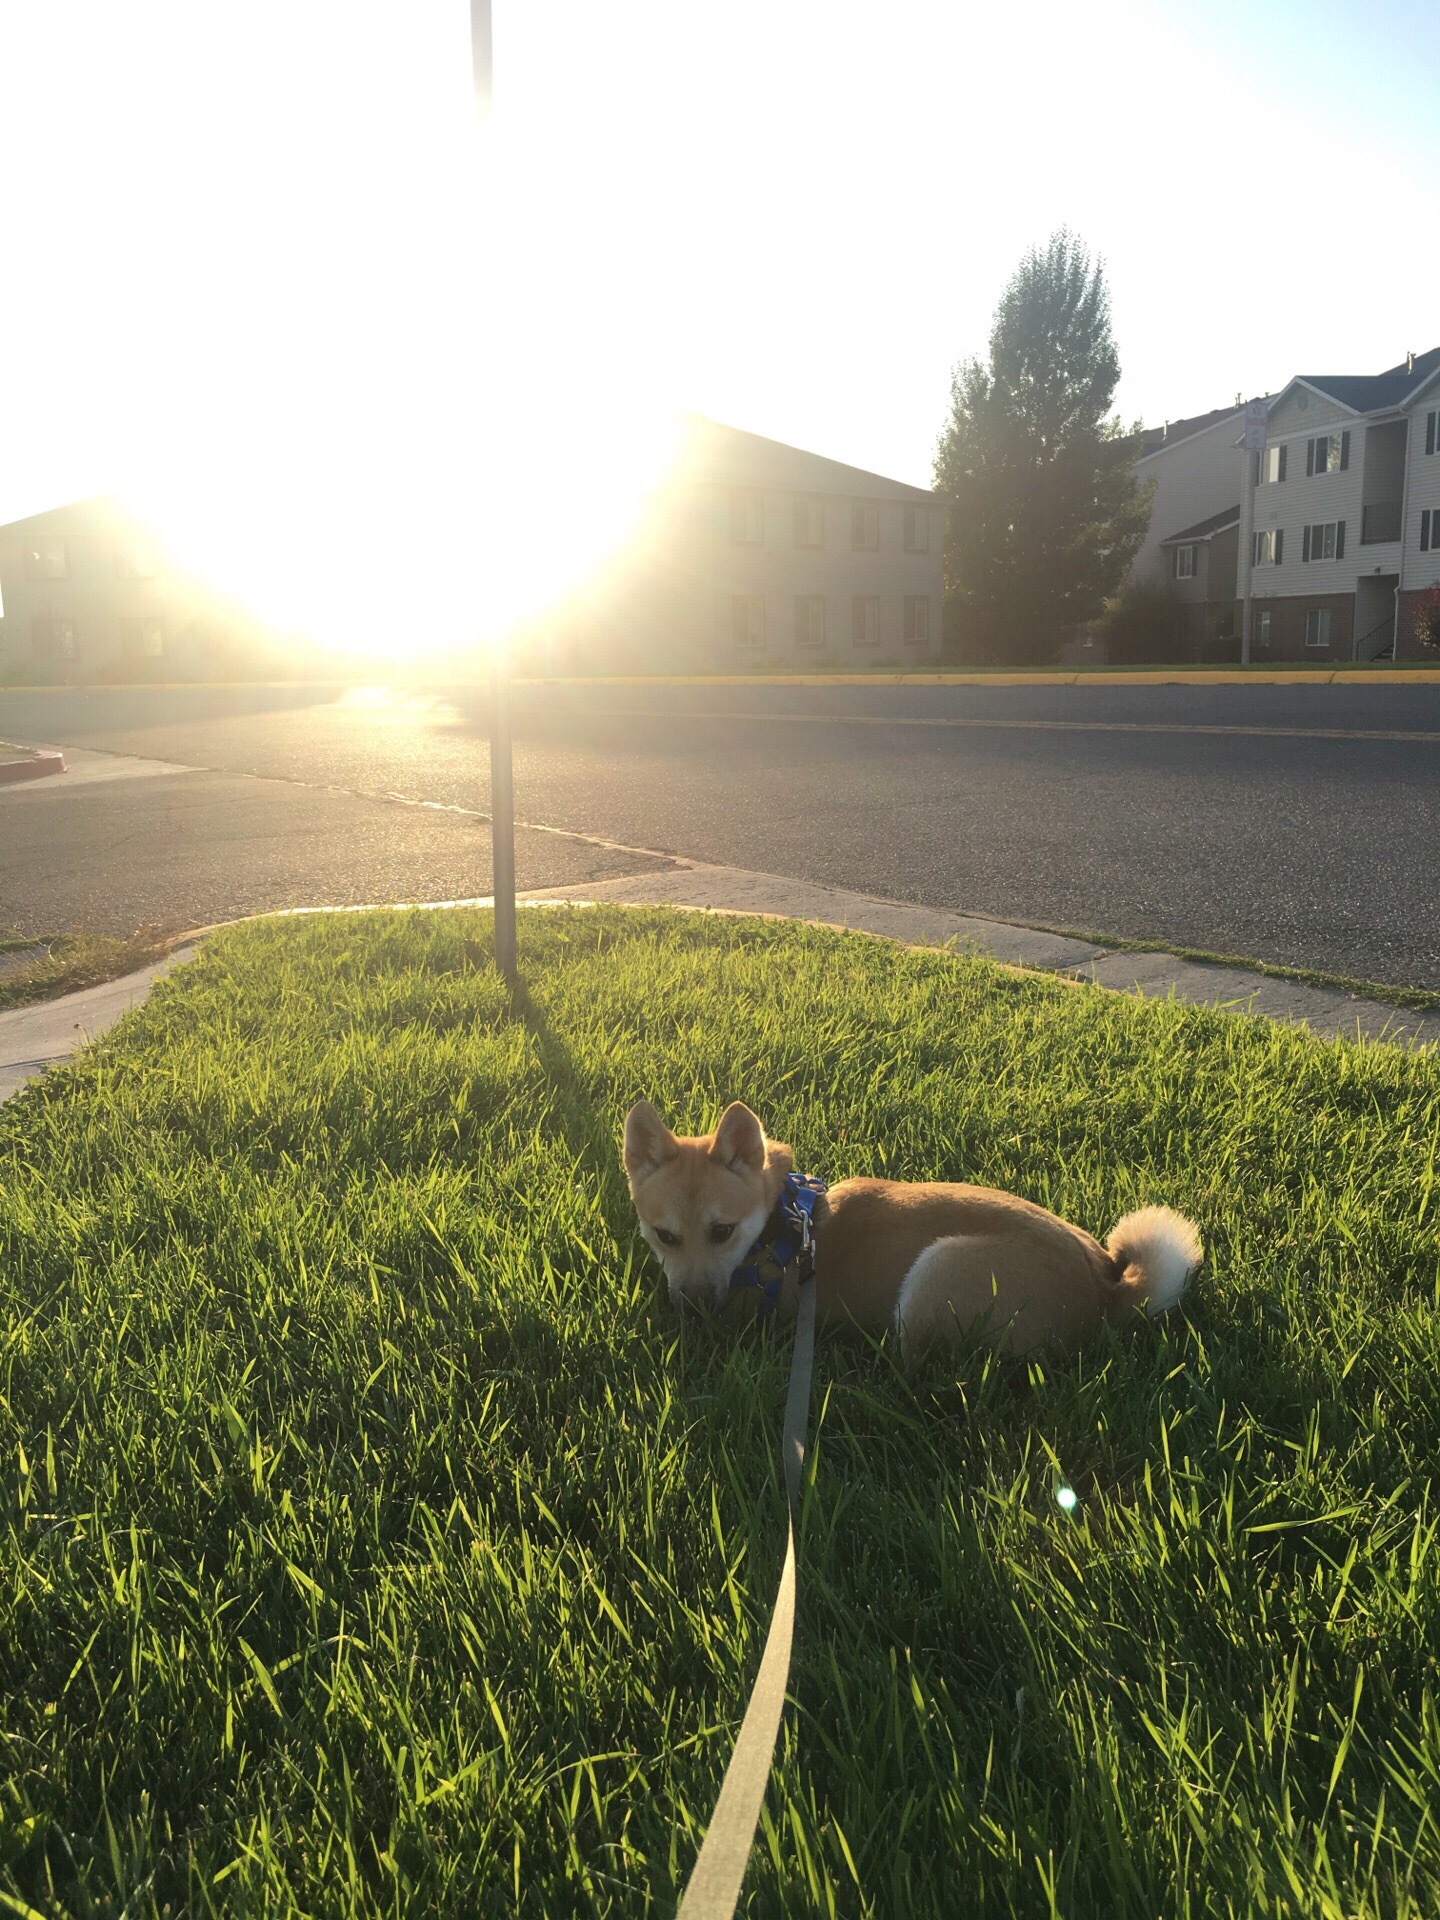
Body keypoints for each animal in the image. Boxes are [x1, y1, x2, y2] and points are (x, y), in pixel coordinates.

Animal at [625, 1105, 1198, 1359]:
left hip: (934, 1276)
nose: (694, 1304)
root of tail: (1105, 1291)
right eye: (664, 1236)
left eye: (722, 1231)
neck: (781, 1222)